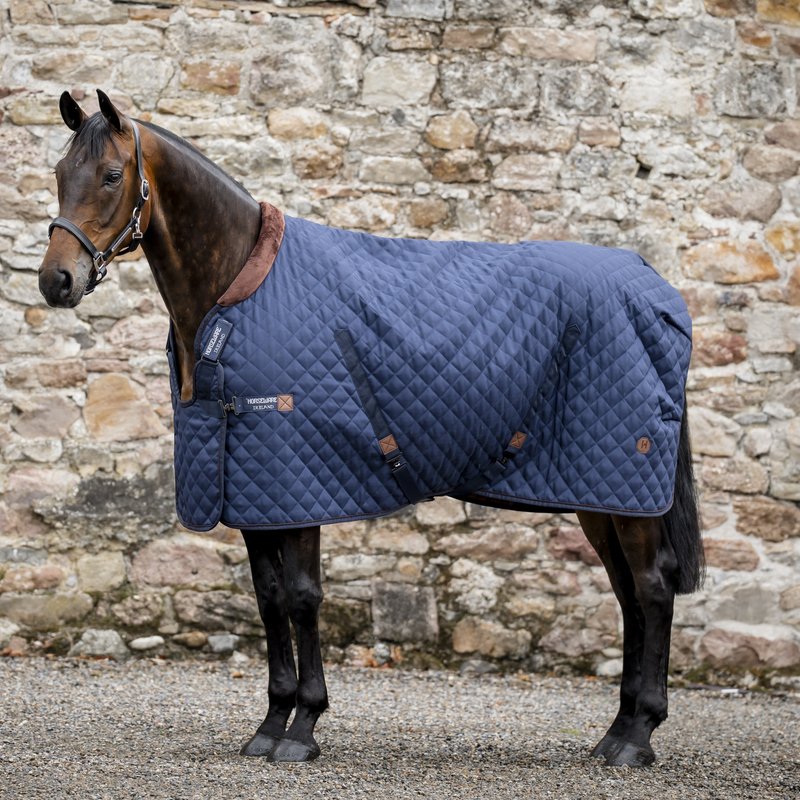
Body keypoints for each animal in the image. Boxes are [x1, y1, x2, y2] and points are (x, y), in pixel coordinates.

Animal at [38, 90, 704, 768]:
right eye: (61, 174)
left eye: (111, 176)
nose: (55, 281)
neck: (242, 288)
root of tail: (656, 291)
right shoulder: (249, 488)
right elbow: (269, 598)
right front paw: (270, 723)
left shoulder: (296, 484)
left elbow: (302, 596)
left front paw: (303, 727)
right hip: (602, 495)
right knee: (628, 594)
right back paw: (616, 732)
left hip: (626, 491)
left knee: (653, 588)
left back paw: (638, 735)